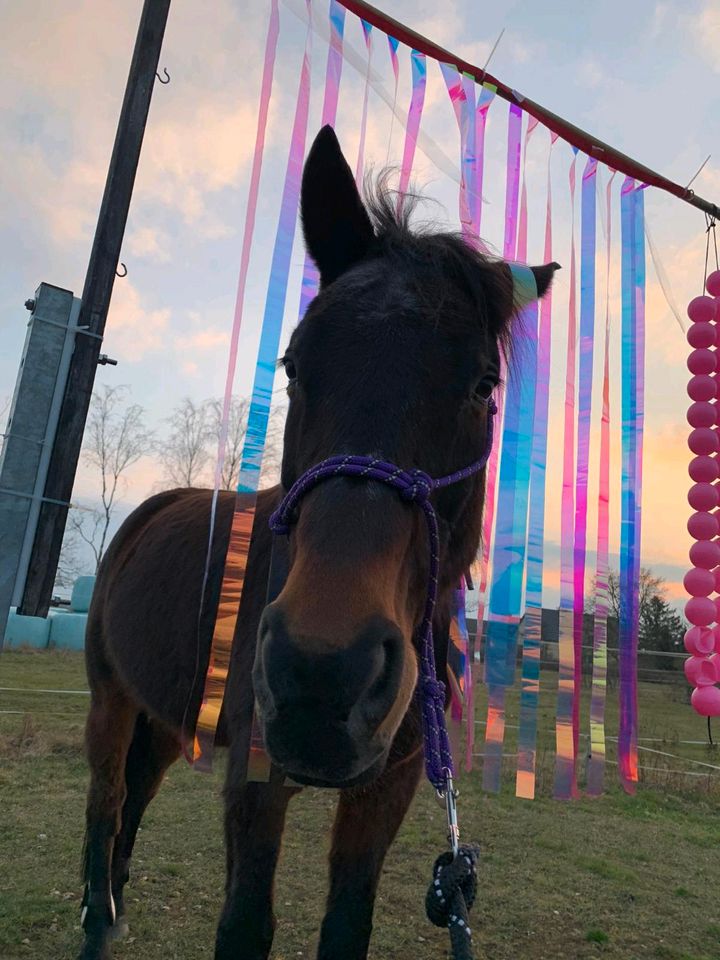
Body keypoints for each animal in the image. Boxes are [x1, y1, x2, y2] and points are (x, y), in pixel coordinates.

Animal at [79, 124, 556, 956]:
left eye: (483, 387)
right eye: (295, 363)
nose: (322, 673)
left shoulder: (387, 788)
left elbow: (347, 923)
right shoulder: (256, 776)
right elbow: (245, 924)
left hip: (169, 718)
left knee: (134, 796)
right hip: (111, 698)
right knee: (105, 802)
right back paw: (96, 915)